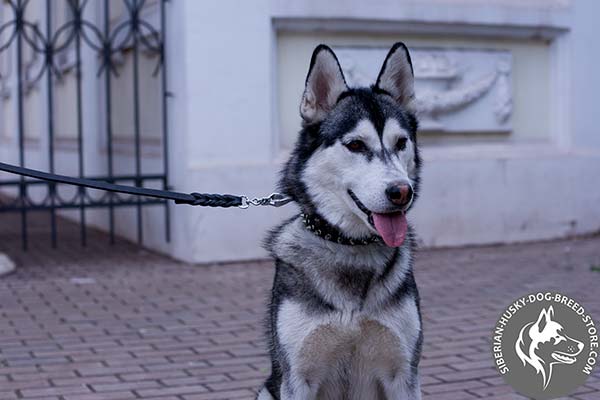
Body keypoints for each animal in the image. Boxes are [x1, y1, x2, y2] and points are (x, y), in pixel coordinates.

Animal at [258, 43, 422, 400]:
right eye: (356, 145)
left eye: (401, 143)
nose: (402, 192)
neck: (350, 248)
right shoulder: (298, 378)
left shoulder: (404, 375)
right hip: (267, 389)